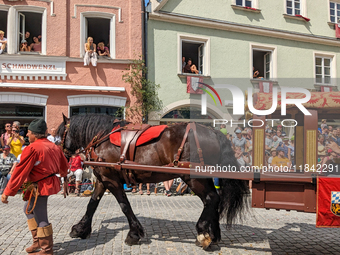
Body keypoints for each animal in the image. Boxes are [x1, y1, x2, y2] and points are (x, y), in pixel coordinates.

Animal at [57, 113, 250, 249]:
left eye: (59, 135)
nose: (62, 156)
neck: (104, 137)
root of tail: (214, 132)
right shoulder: (103, 179)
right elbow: (92, 204)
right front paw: (80, 229)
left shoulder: (111, 180)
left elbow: (124, 205)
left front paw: (134, 233)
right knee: (214, 199)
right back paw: (213, 234)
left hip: (193, 178)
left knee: (211, 198)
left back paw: (203, 232)